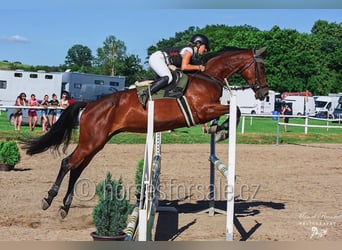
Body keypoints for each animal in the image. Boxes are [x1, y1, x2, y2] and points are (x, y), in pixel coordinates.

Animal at [23, 46, 270, 218]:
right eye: (262, 67)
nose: (264, 93)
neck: (208, 77)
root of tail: (90, 104)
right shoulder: (202, 110)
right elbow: (235, 110)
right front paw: (220, 131)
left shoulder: (207, 110)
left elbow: (234, 111)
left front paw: (217, 129)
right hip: (91, 141)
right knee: (67, 163)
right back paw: (49, 199)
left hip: (97, 143)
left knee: (77, 168)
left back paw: (65, 207)